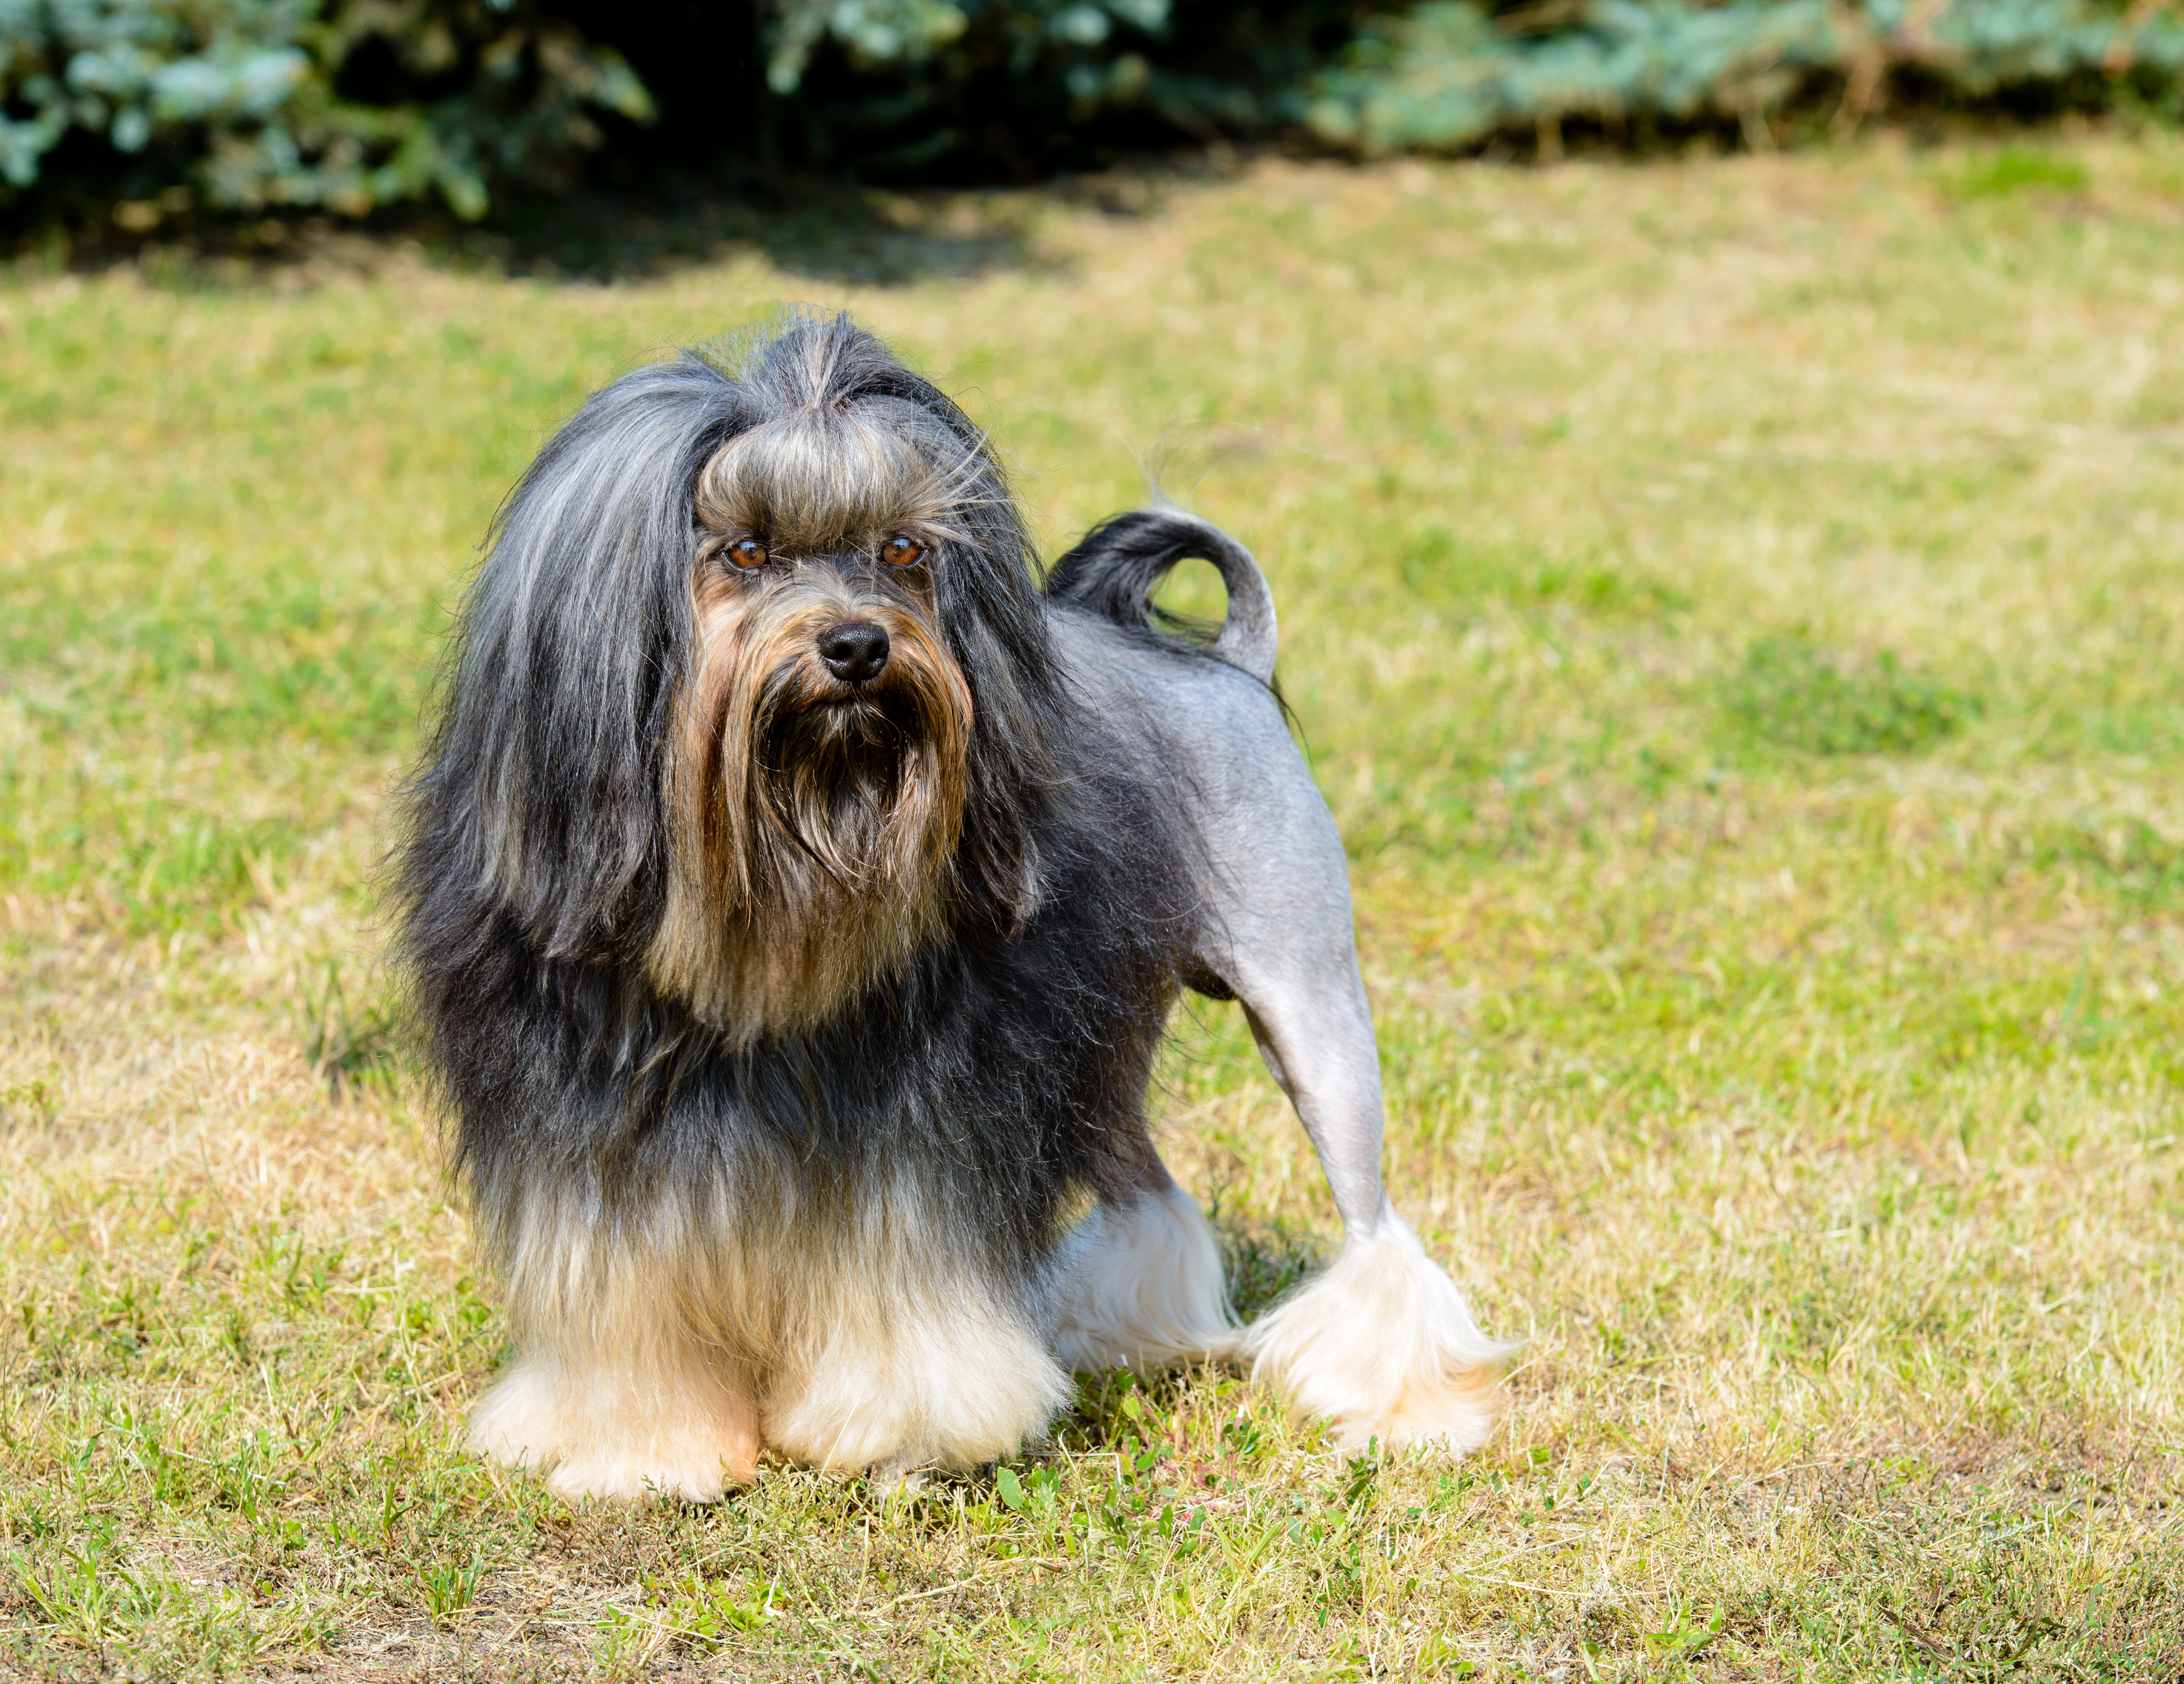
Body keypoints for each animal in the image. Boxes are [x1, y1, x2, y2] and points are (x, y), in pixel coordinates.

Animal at [393, 305, 1511, 1503]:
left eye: (902, 550)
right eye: (743, 551)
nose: (855, 646)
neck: (762, 897)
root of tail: (1228, 669)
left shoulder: (918, 1129)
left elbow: (899, 1299)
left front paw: (896, 1436)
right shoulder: (586, 1131)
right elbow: (625, 1305)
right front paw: (639, 1452)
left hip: (1305, 1002)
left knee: (1373, 1225)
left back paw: (1398, 1409)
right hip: (1099, 1042)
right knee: (1147, 1186)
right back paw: (1124, 1336)